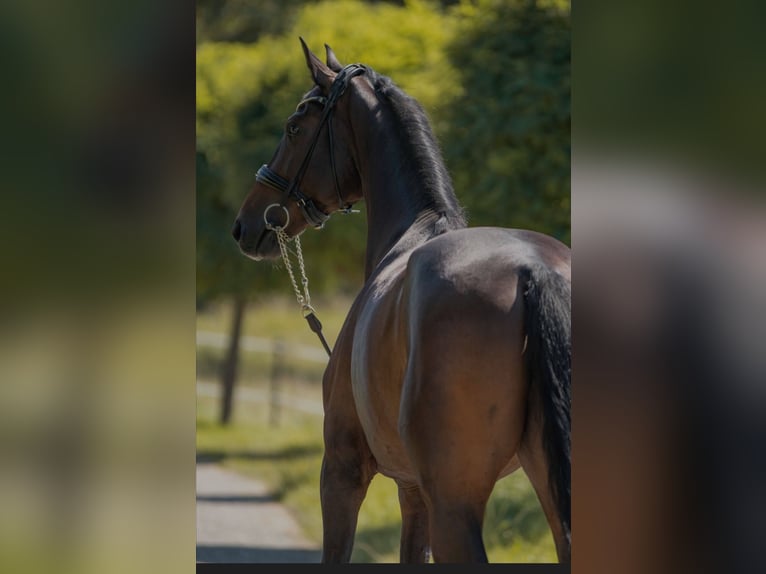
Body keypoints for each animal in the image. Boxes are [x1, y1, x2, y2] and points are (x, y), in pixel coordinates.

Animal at [231, 40, 572, 568]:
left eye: (293, 127)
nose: (246, 224)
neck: (415, 227)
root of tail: (532, 268)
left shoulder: (343, 469)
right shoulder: (413, 492)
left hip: (455, 502)